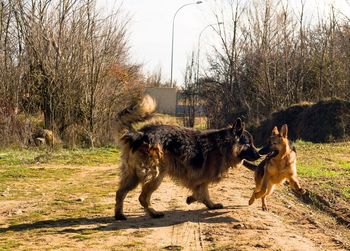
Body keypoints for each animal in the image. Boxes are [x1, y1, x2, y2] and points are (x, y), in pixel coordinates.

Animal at [114, 95, 260, 219]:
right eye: (248, 143)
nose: (259, 155)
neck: (224, 145)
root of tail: (140, 134)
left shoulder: (201, 179)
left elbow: (202, 192)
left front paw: (208, 204)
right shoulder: (201, 178)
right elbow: (201, 192)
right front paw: (196, 200)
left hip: (133, 176)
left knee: (120, 193)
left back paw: (119, 215)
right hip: (156, 175)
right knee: (142, 198)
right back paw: (154, 213)